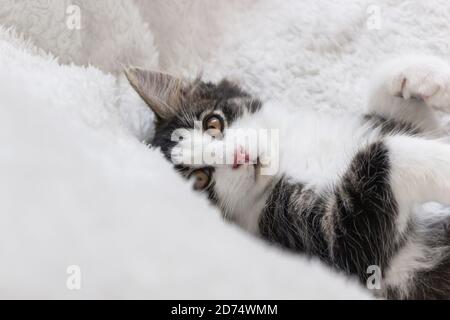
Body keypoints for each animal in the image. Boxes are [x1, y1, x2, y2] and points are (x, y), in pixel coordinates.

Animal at [125, 55, 450, 300]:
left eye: (213, 124)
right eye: (199, 180)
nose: (240, 156)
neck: (287, 158)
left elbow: (409, 117)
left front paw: (418, 75)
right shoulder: (336, 244)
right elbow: (387, 153)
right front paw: (444, 164)